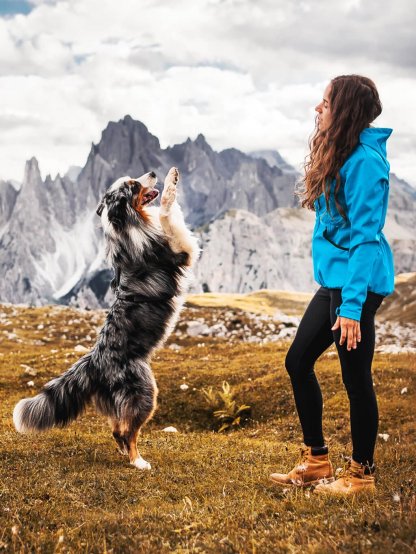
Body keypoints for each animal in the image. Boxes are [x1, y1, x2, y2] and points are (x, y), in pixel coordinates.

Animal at [13, 166, 199, 468]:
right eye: (133, 185)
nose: (152, 171)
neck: (127, 226)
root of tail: (95, 360)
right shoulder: (178, 251)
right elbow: (168, 212)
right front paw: (171, 182)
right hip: (144, 392)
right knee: (127, 430)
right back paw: (138, 461)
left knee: (117, 428)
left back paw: (126, 453)